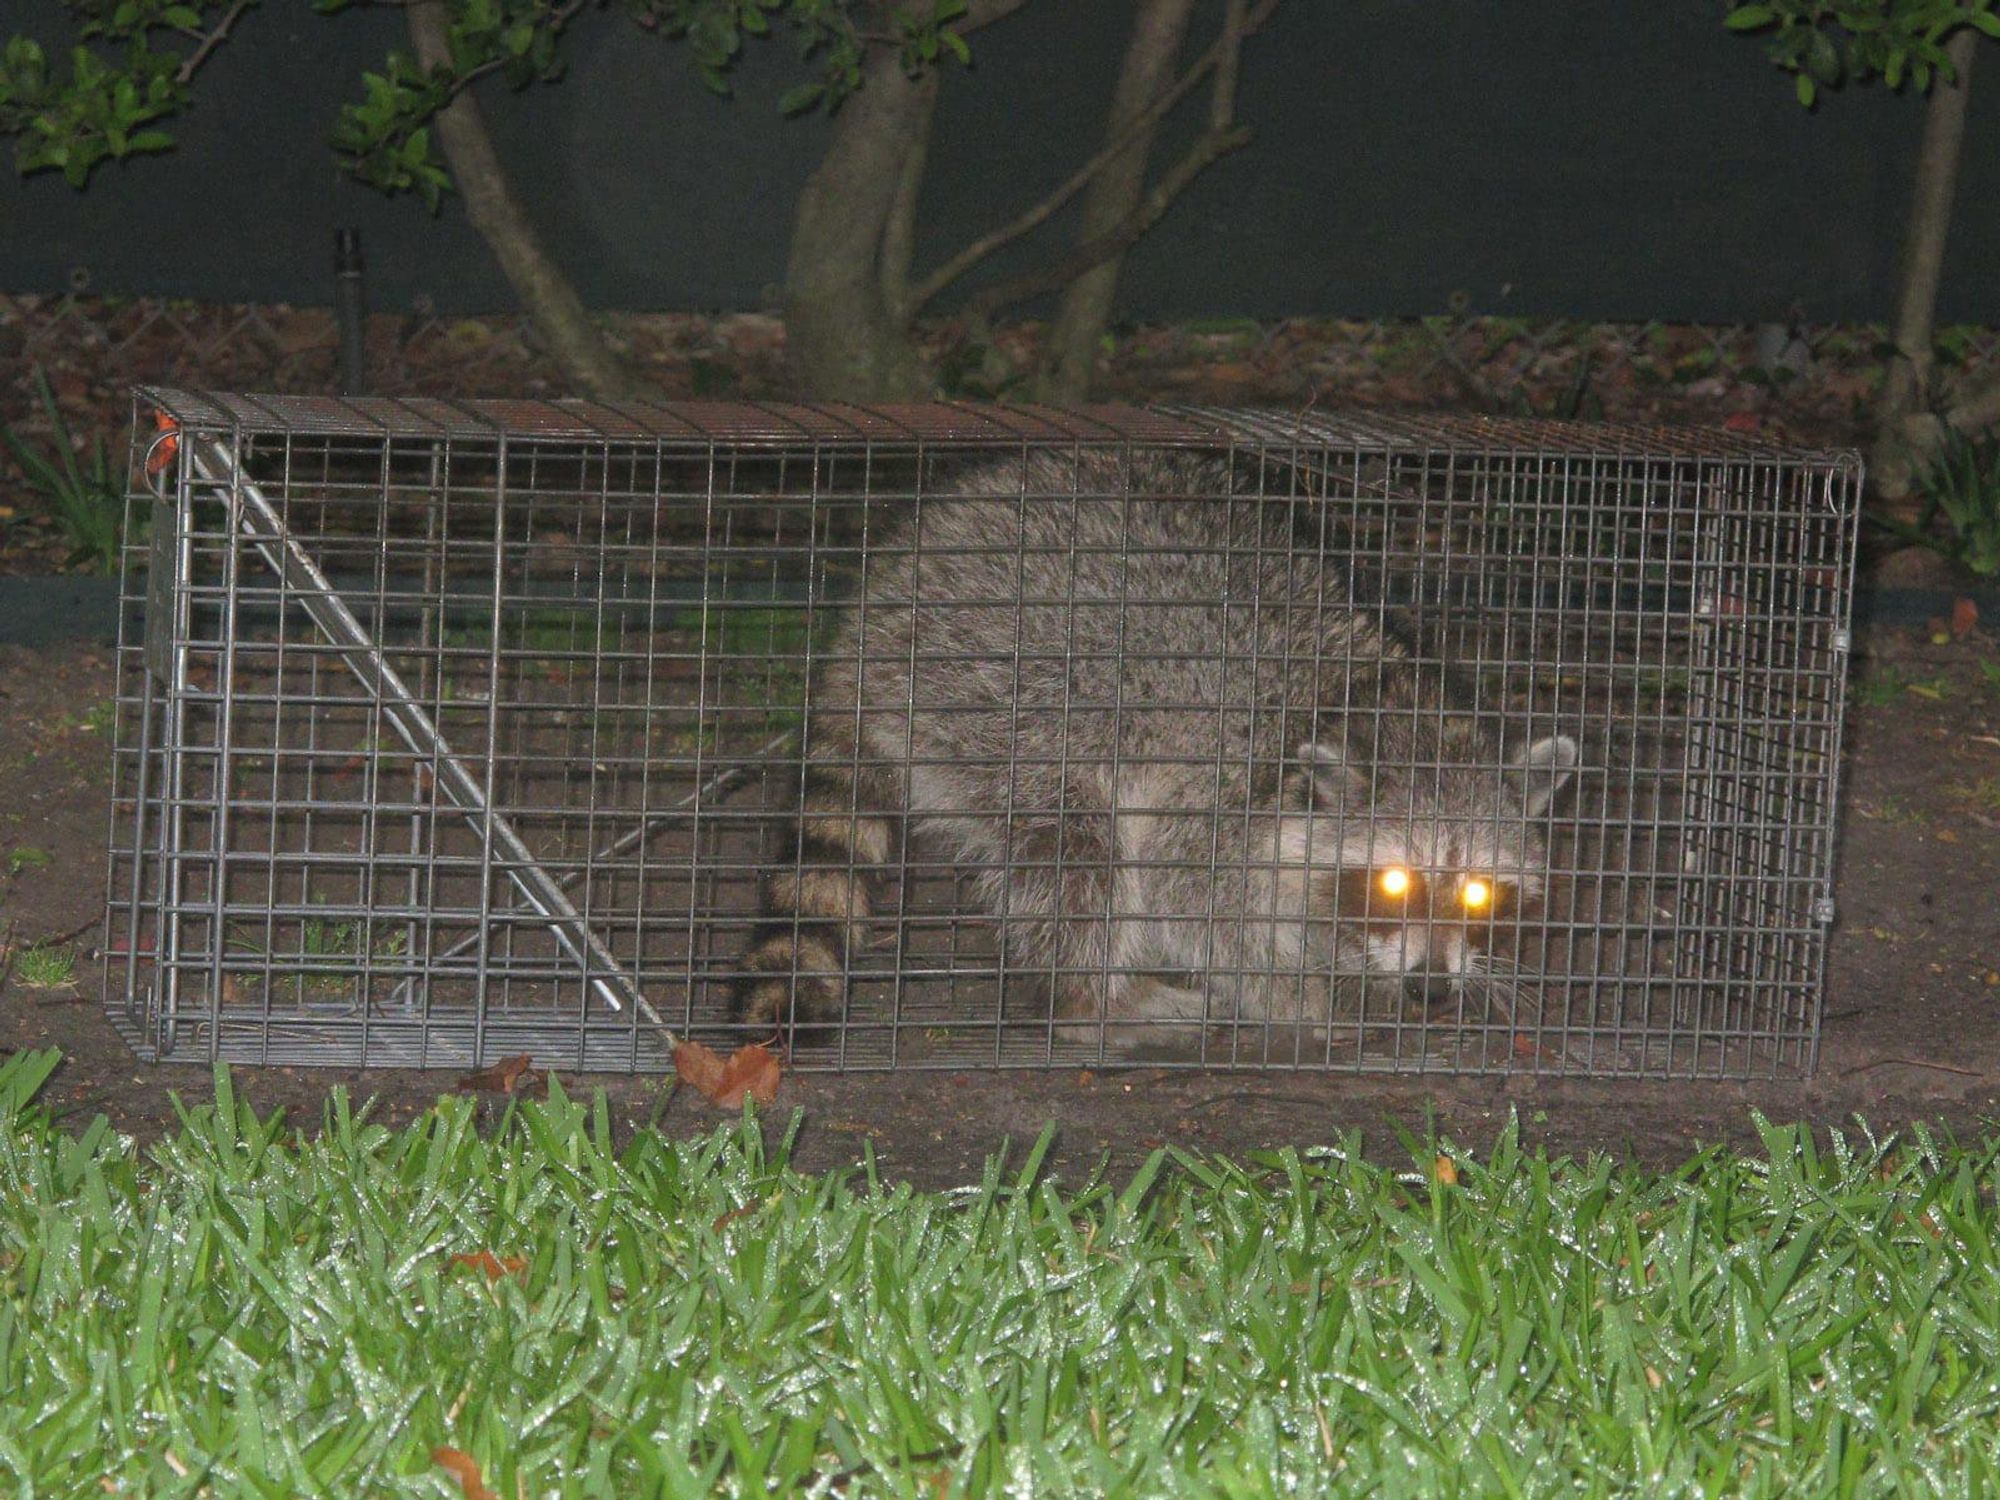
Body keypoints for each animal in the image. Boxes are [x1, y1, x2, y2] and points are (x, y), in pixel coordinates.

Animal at [733, 449, 1578, 1041]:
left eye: (1481, 893)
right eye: (1395, 882)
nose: (1432, 985)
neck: (1375, 702)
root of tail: (869, 617)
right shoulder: (1225, 786)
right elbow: (1194, 902)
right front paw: (1299, 994)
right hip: (990, 692)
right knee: (1079, 852)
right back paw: (1093, 1001)